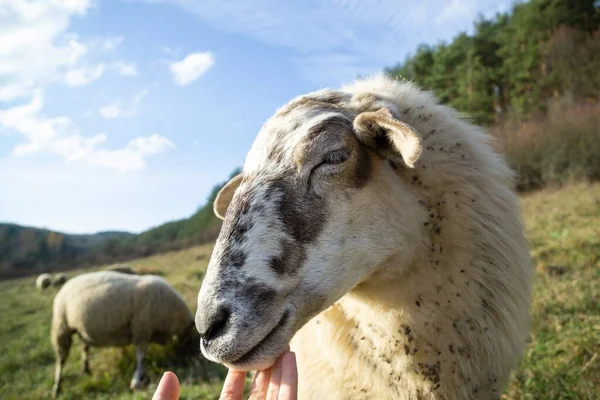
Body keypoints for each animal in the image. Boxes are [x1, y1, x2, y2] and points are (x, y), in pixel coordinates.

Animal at [51, 270, 197, 398]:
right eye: (191, 337)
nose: (191, 357)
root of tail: (66, 285)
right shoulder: (141, 330)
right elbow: (141, 357)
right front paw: (136, 381)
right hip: (61, 326)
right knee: (61, 360)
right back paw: (57, 387)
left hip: (82, 331)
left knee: (84, 348)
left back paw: (85, 369)